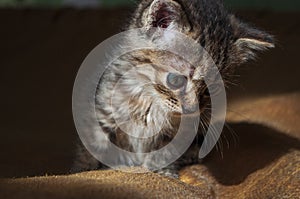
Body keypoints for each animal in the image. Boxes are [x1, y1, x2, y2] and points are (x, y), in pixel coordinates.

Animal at [72, 0, 274, 177]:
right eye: (175, 80)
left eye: (214, 88)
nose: (192, 109)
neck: (149, 98)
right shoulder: (99, 117)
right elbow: (91, 153)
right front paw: (87, 170)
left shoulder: (181, 133)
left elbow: (165, 154)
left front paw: (164, 173)